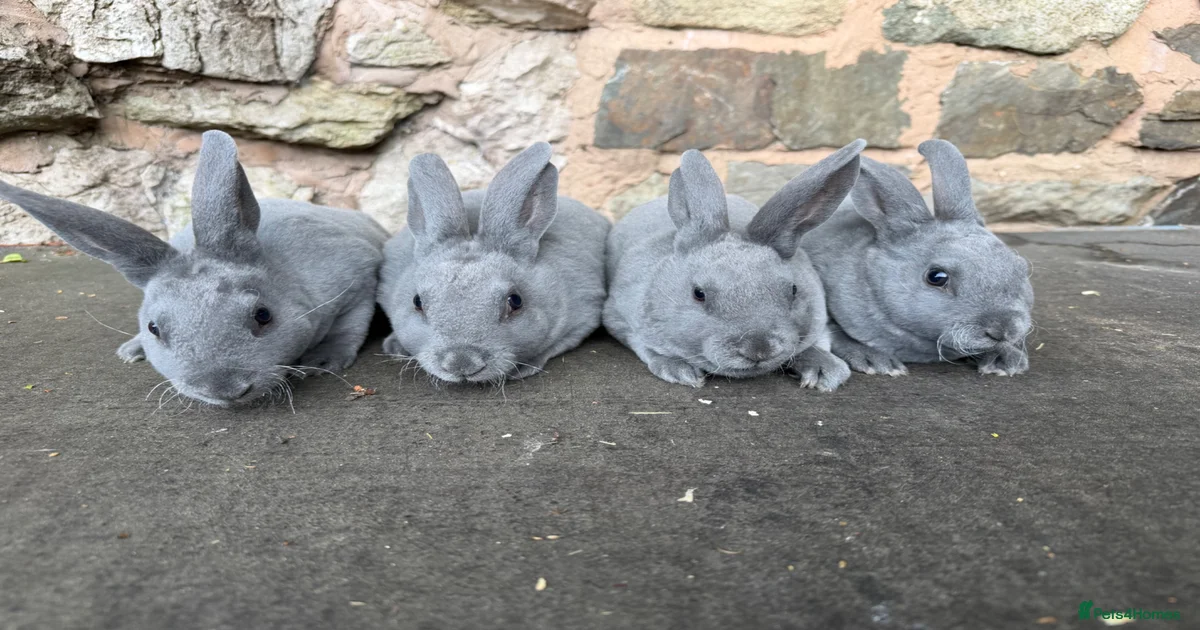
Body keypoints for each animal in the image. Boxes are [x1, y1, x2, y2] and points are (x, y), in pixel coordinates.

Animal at [0, 130, 388, 407]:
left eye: (263, 316)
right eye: (154, 328)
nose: (226, 390)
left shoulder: (358, 283)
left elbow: (350, 325)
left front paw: (322, 362)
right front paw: (135, 347)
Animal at [377, 142, 610, 384]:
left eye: (516, 301)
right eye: (417, 302)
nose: (462, 364)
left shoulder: (581, 319)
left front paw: (522, 369)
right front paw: (394, 346)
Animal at [603, 140, 867, 391]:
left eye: (793, 290)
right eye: (698, 294)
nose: (758, 349)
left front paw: (825, 371)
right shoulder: (618, 318)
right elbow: (648, 347)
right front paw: (679, 371)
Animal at [799, 139, 1034, 377]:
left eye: (1020, 268)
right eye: (936, 277)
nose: (1003, 329)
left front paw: (1007, 360)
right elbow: (838, 335)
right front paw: (876, 361)